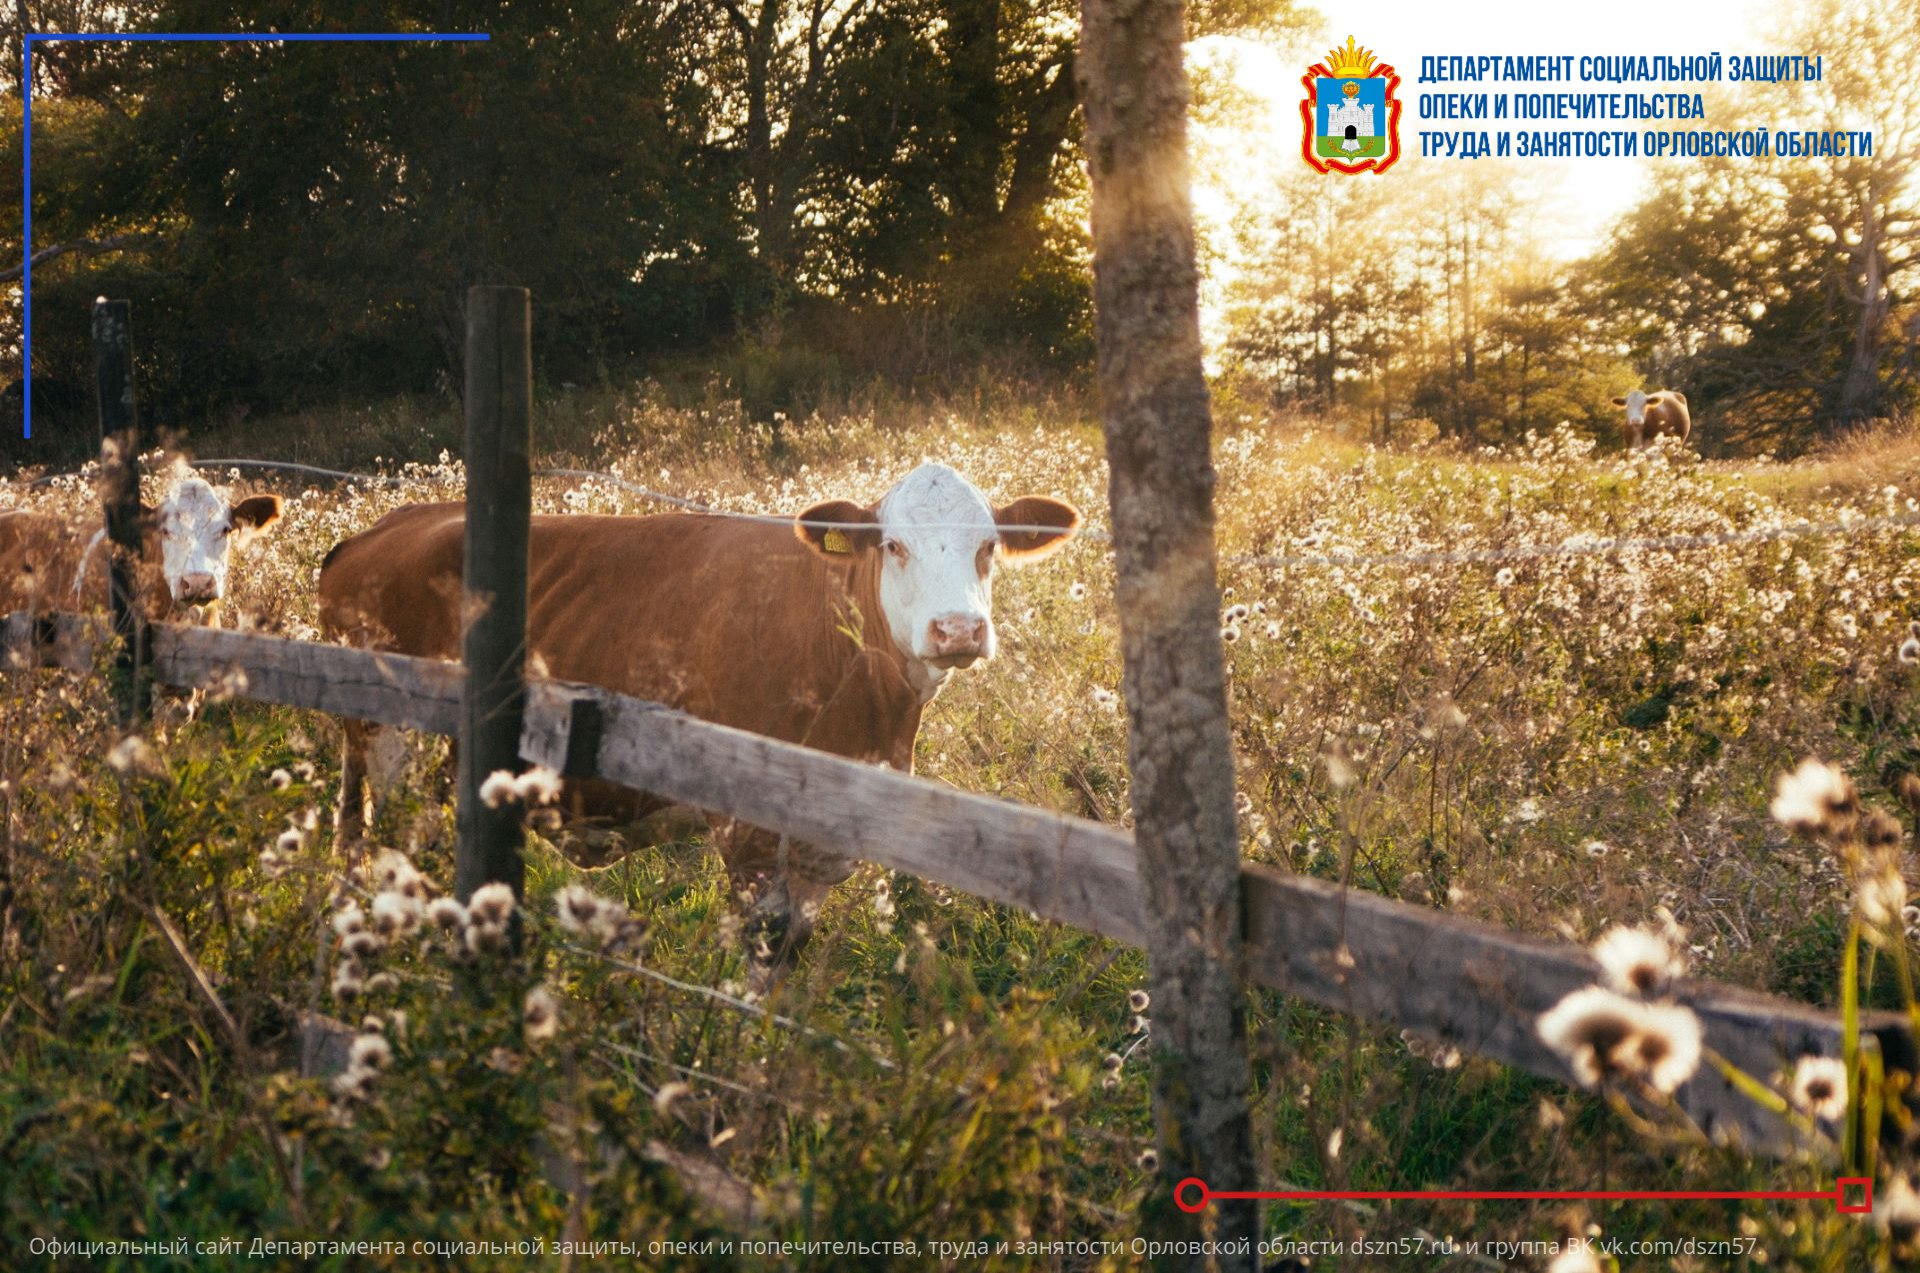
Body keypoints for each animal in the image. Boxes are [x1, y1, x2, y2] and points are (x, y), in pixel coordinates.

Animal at [318, 466, 1082, 975]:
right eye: (892, 545)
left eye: (989, 545)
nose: (958, 629)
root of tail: (382, 527)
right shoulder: (748, 834)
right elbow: (761, 955)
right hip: (393, 747)